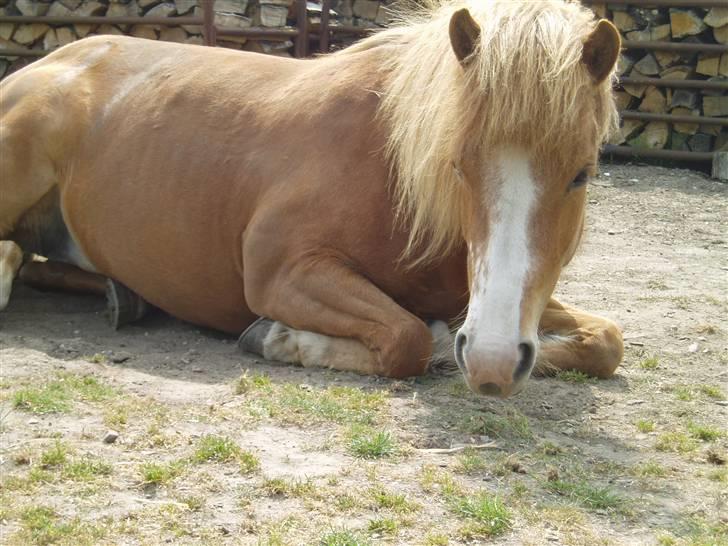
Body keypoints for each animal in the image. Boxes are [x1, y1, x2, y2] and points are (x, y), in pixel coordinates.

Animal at [0, 0, 624, 396]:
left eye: (581, 174)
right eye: (458, 165)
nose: (492, 363)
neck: (392, 169)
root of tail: (52, 61)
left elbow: (608, 341)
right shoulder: (282, 271)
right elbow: (408, 339)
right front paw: (282, 340)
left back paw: (123, 296)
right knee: (13, 255)